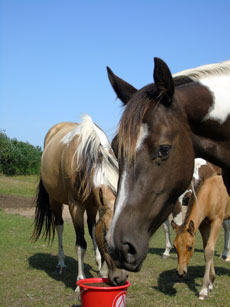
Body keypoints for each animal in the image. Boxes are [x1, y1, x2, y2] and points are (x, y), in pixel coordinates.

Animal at [31, 116, 127, 292]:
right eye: (106, 237)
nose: (120, 278)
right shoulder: (76, 207)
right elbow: (80, 244)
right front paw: (80, 281)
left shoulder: (94, 205)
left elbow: (93, 230)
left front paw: (101, 268)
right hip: (55, 201)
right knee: (59, 226)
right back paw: (61, 264)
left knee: (90, 228)